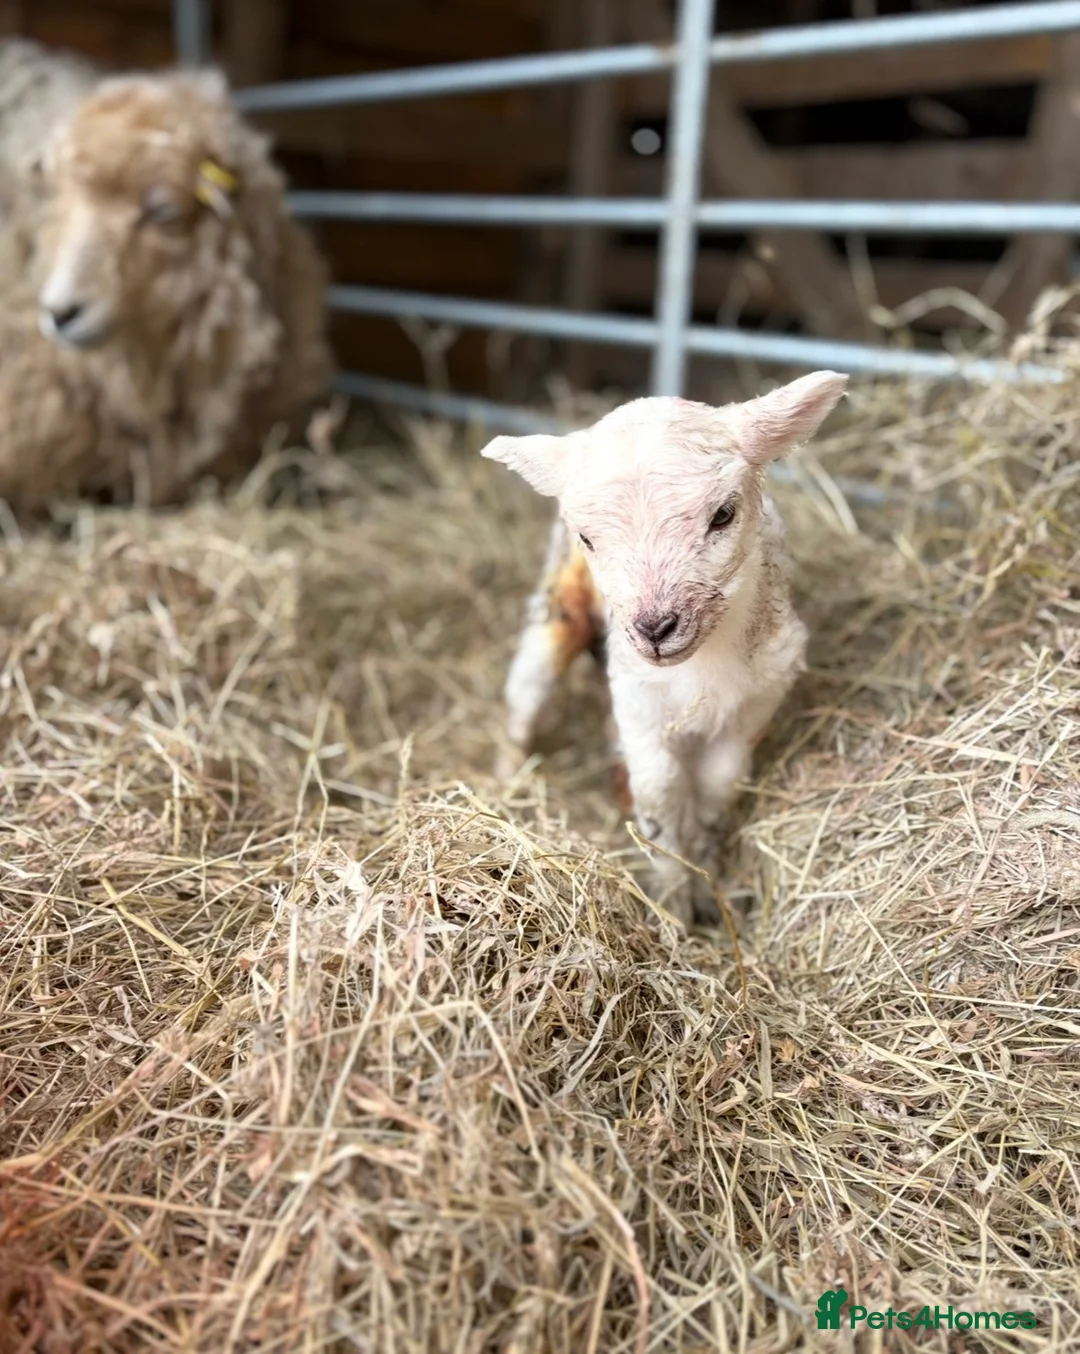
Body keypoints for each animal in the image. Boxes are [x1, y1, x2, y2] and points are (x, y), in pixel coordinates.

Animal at [482, 371, 848, 926]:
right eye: (587, 538)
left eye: (723, 514)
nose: (655, 628)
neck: (701, 664)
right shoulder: (639, 704)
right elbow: (661, 795)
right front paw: (673, 905)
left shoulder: (756, 702)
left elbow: (719, 786)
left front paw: (707, 877)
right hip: (555, 614)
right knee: (523, 705)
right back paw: (505, 787)